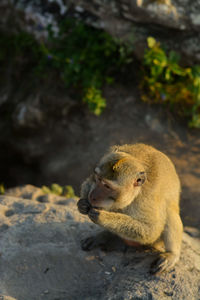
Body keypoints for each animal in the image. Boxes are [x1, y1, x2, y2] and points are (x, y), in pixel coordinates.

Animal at [77, 144, 184, 274]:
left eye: (107, 186)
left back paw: (172, 254)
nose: (93, 196)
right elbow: (88, 182)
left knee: (170, 212)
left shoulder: (147, 199)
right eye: (98, 179)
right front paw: (83, 204)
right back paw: (106, 236)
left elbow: (152, 230)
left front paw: (103, 217)